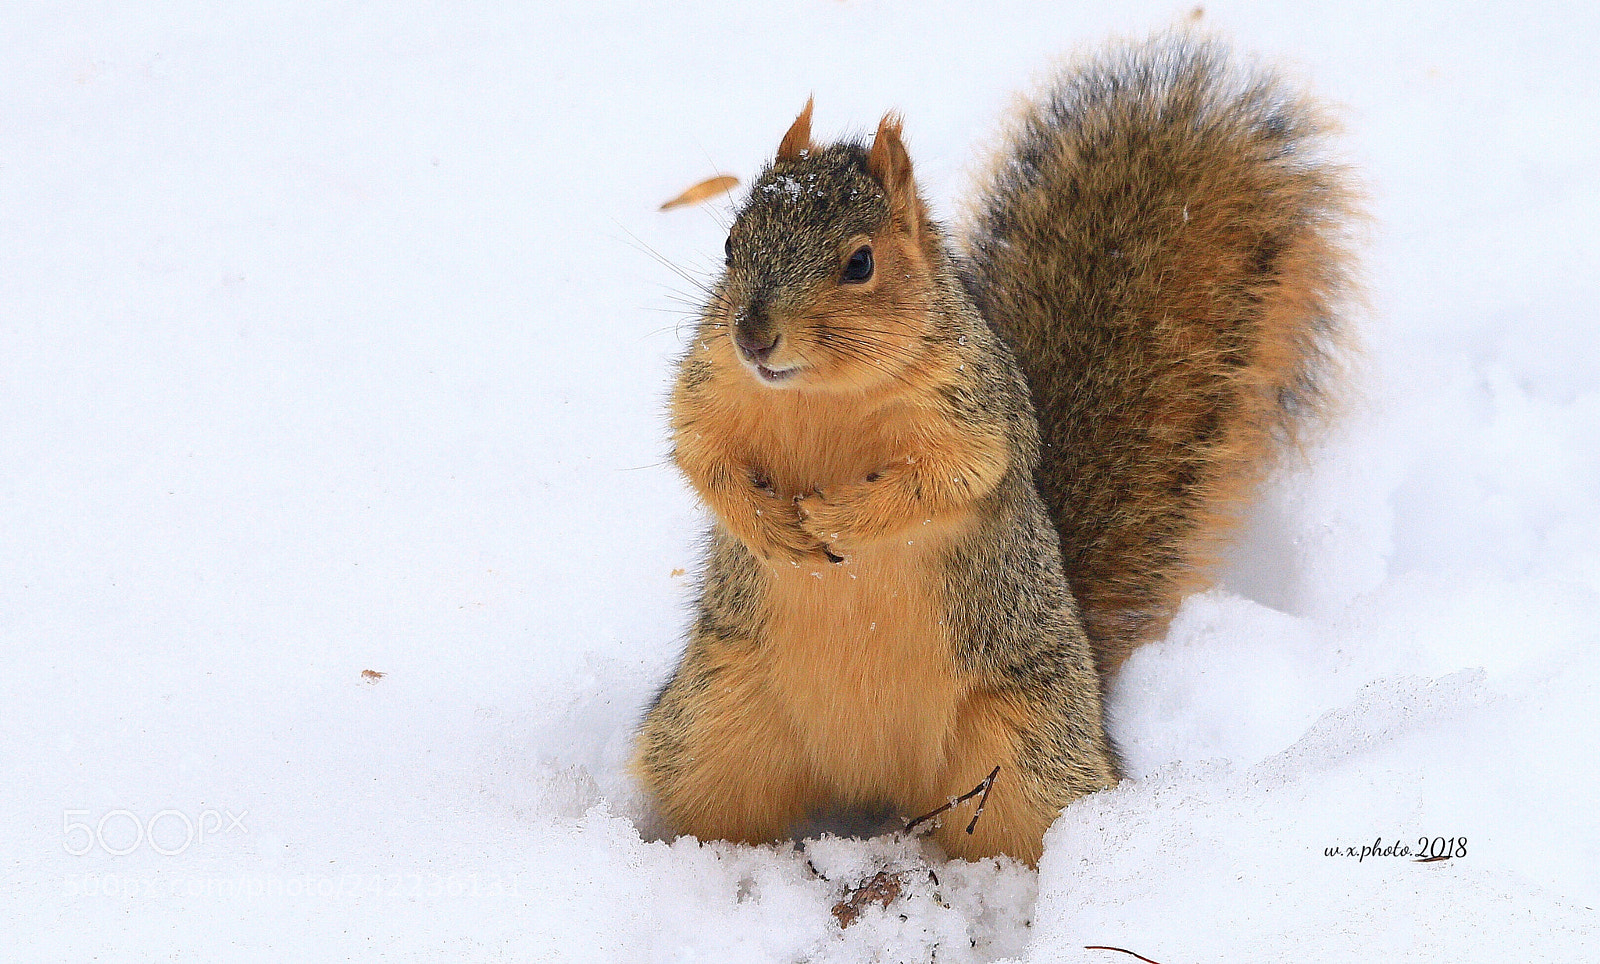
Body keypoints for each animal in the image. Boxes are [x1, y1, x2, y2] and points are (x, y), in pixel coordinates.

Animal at [634, 33, 1358, 866]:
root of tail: (875, 783)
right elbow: (700, 454)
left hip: (1023, 747)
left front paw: (837, 517)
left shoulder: (975, 413)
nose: (753, 335)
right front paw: (771, 526)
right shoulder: (711, 386)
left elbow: (947, 481)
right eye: (730, 245)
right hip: (714, 724)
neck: (822, 395)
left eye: (860, 262)